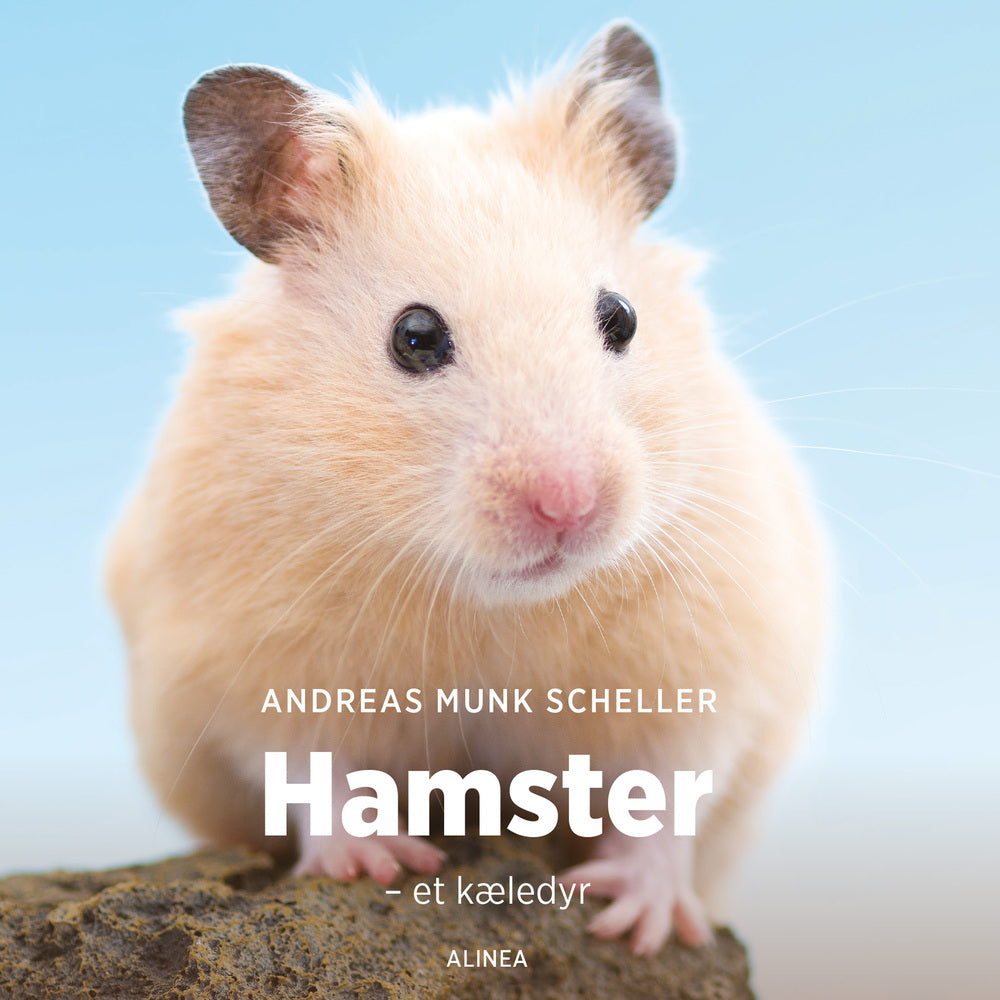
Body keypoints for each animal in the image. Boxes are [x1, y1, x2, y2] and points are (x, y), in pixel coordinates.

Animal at [106, 21, 826, 955]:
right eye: (414, 337)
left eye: (622, 317)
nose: (569, 507)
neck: (490, 603)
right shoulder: (244, 656)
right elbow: (308, 766)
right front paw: (377, 864)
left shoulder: (713, 656)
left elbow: (669, 790)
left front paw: (636, 920)